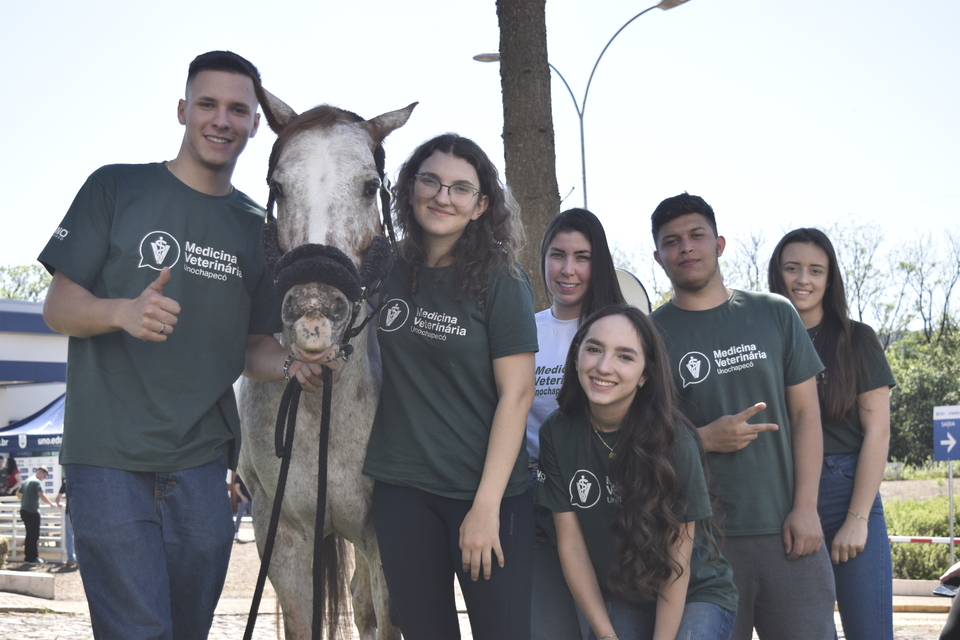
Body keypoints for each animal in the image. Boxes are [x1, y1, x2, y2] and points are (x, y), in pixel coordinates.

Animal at [238, 86, 414, 640]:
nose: (313, 316)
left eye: (369, 186)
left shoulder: (384, 536)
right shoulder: (283, 535)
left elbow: (385, 616)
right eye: (277, 186)